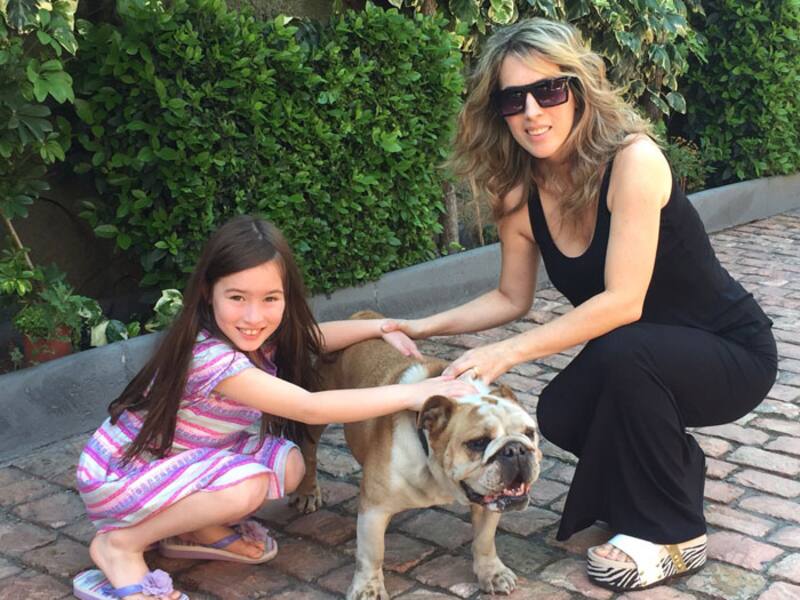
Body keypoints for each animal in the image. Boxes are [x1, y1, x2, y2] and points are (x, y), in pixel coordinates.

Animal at [291, 311, 542, 599]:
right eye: (478, 443)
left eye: (529, 433)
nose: (515, 449)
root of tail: (360, 316)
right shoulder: (373, 510)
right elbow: (371, 553)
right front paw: (368, 588)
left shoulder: (490, 503)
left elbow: (484, 539)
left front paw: (492, 573)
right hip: (317, 408)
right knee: (308, 450)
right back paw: (308, 491)